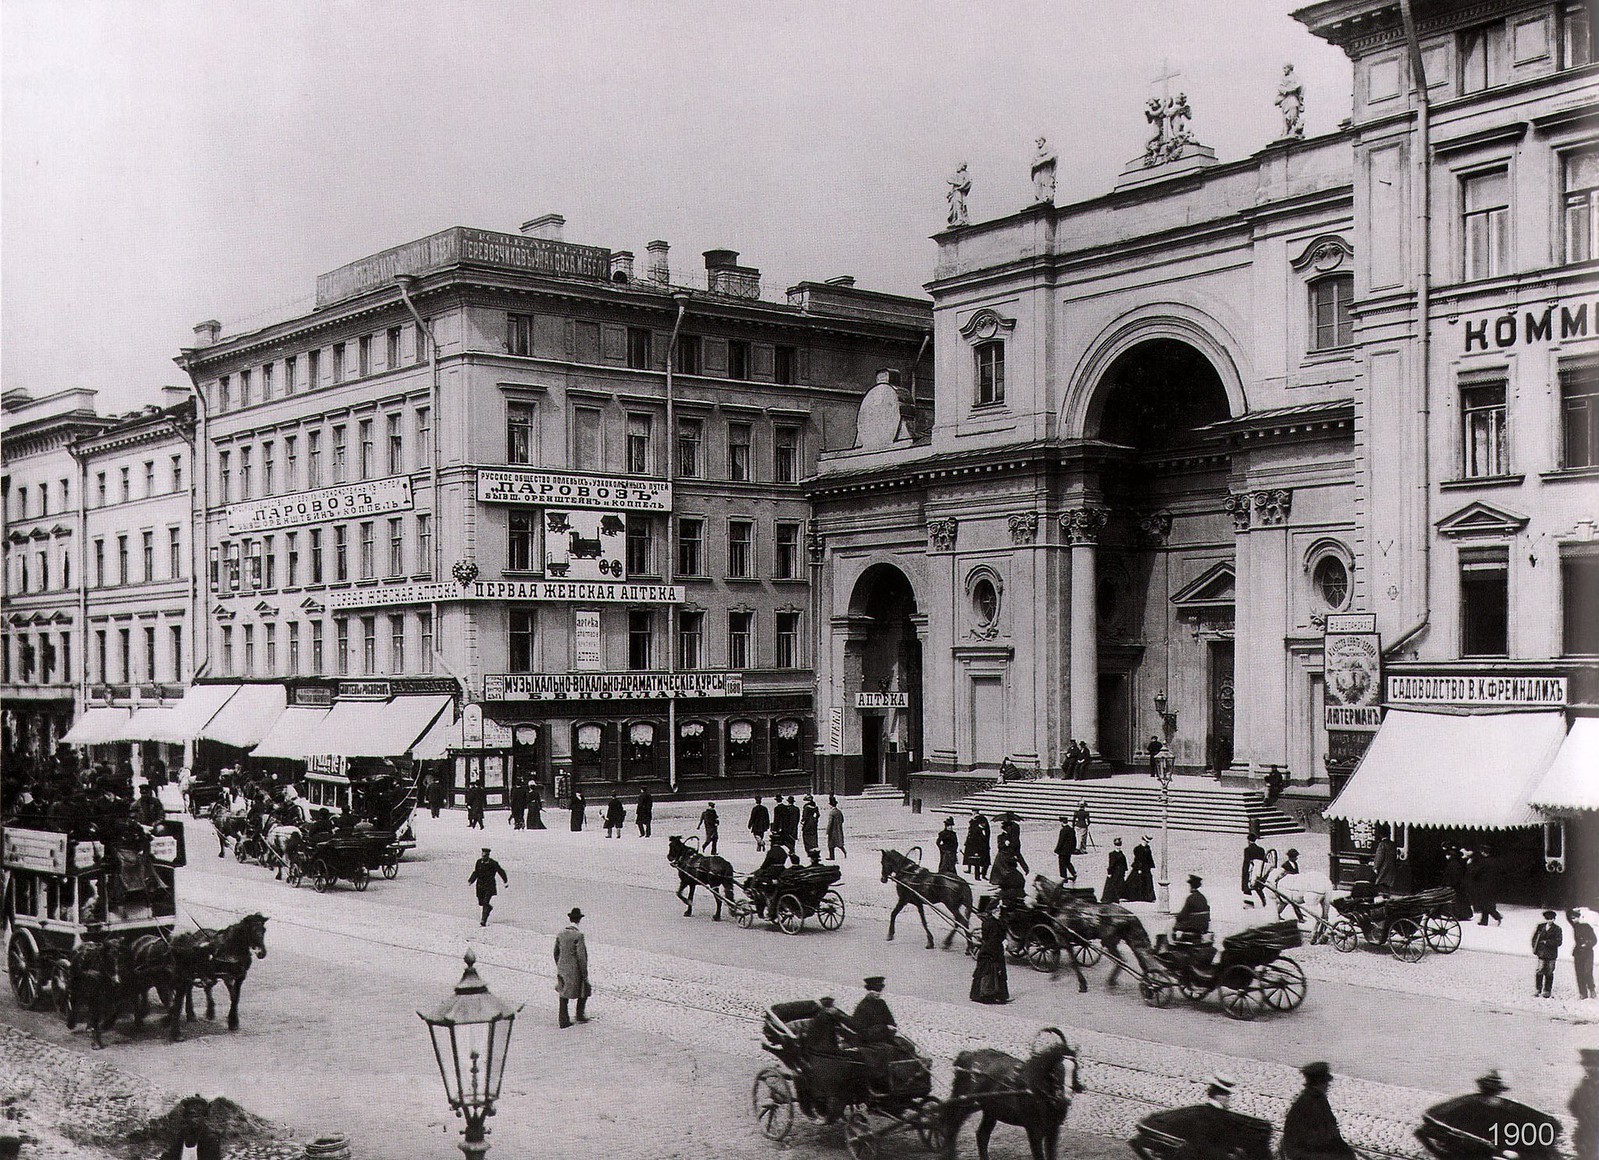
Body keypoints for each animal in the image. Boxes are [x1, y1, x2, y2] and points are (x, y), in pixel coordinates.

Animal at [933, 1024, 1087, 1158]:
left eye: (1075, 1069)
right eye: (1056, 1071)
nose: (1065, 1097)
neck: (1036, 1092)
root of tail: (967, 1056)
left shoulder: (1053, 1131)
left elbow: (1051, 1154)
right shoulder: (1034, 1131)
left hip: (990, 1110)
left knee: (982, 1135)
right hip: (964, 1103)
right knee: (951, 1128)